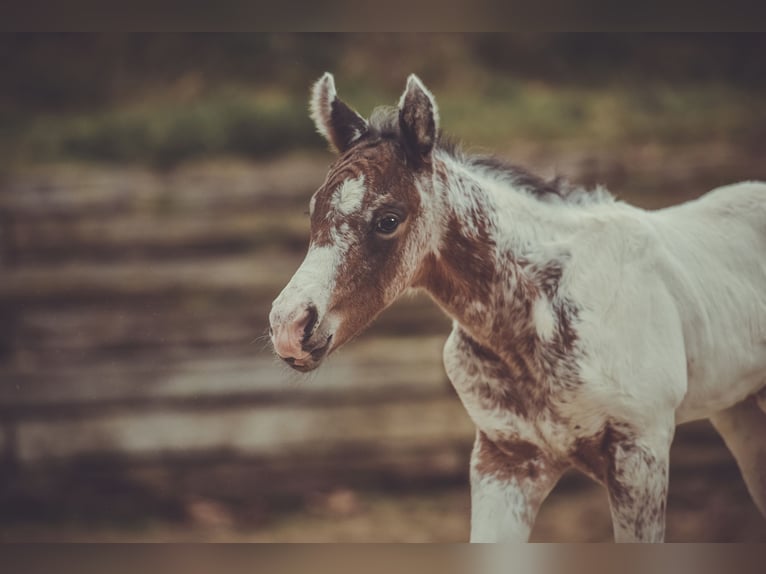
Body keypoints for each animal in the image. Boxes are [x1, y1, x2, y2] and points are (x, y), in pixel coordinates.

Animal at [268, 72, 766, 542]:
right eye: (313, 209)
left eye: (389, 219)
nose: (289, 327)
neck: (536, 318)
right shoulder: (505, 458)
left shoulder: (641, 453)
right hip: (737, 409)